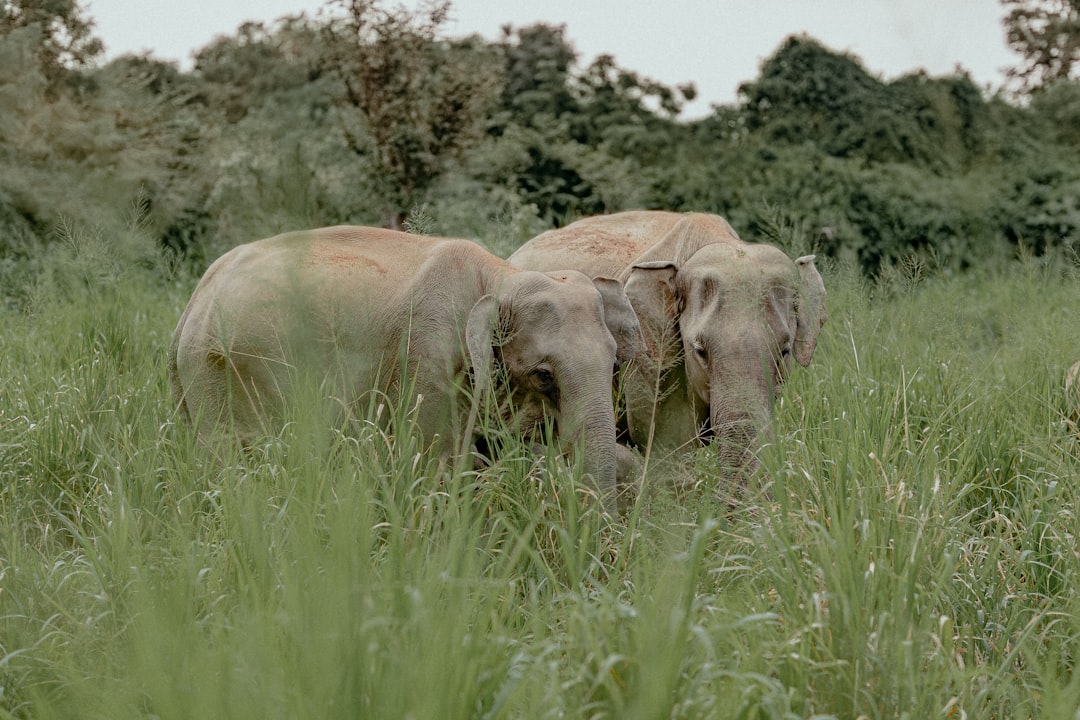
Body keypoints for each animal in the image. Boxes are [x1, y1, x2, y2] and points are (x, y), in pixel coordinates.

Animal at [168, 225, 639, 511]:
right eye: (544, 375)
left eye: (615, 363)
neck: (501, 276)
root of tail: (192, 301)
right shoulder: (426, 351)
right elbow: (434, 461)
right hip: (218, 375)